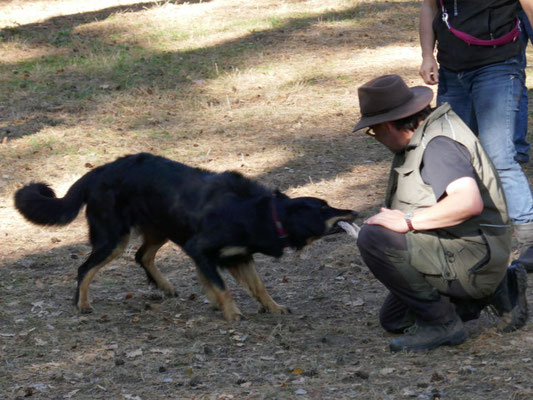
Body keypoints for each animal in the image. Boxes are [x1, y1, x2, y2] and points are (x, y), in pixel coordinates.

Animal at [15, 152, 358, 320]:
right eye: (325, 209)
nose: (354, 212)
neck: (257, 212)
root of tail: (98, 171)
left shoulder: (238, 257)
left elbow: (258, 287)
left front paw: (273, 308)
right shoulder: (201, 250)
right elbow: (222, 288)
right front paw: (231, 313)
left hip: (160, 228)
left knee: (142, 256)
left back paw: (164, 286)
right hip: (114, 239)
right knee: (84, 269)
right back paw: (83, 304)